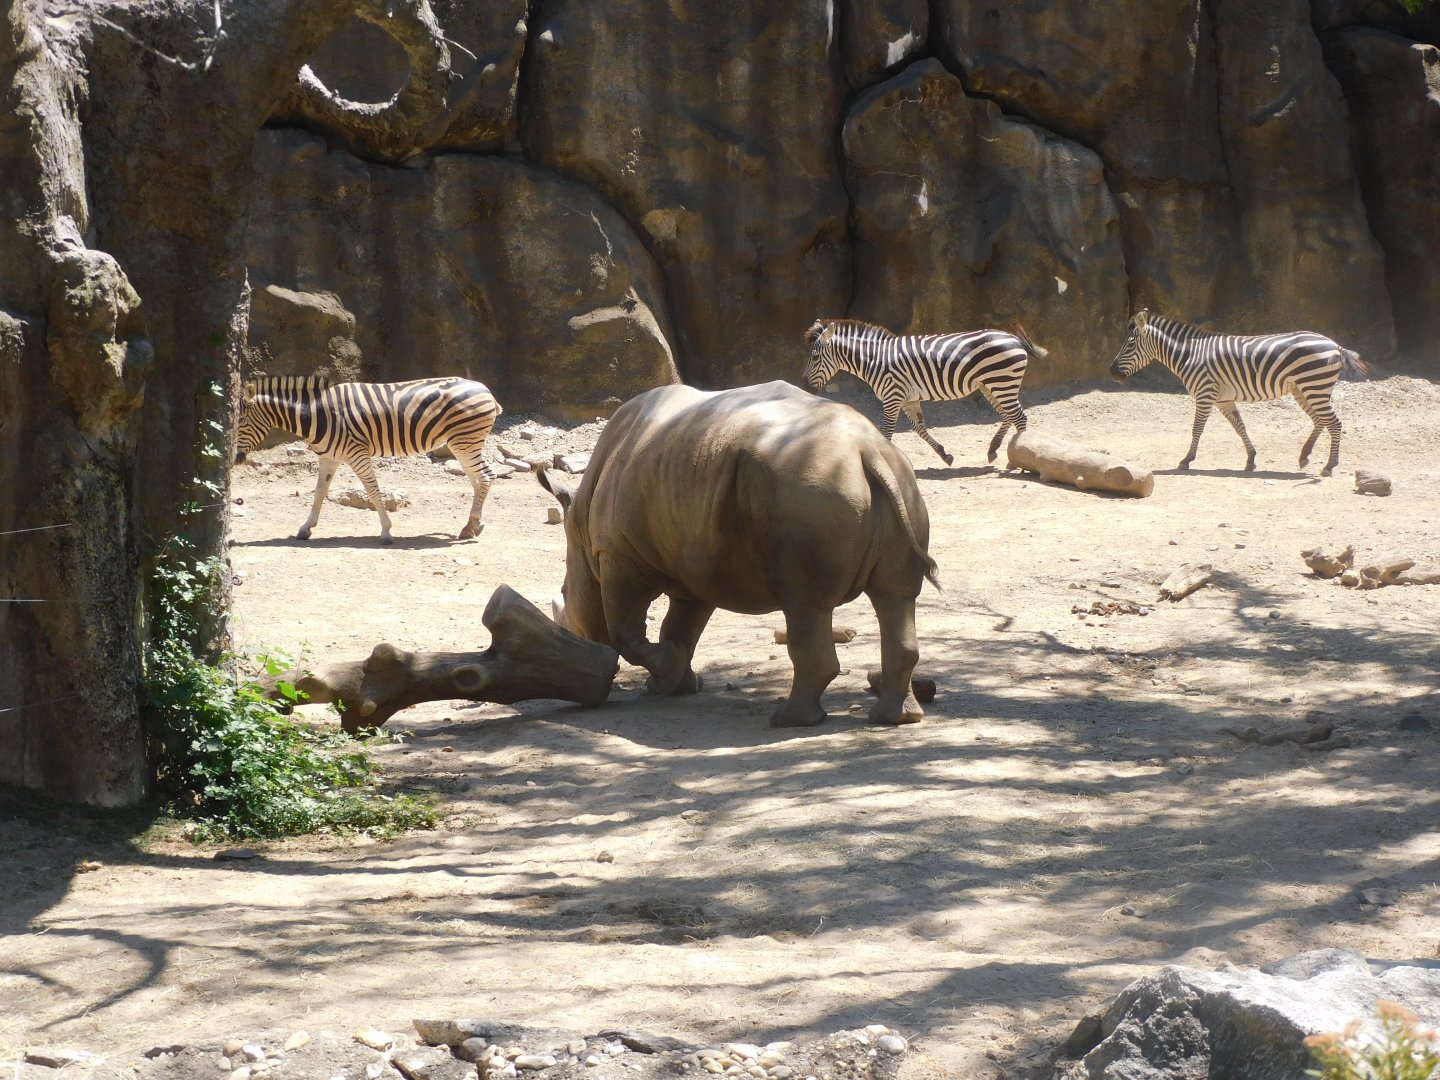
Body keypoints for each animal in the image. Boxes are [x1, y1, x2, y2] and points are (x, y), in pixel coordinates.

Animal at [235, 375, 502, 543]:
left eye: (240, 422)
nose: (236, 459)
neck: (319, 414)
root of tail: (485, 389)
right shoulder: (329, 458)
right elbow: (320, 492)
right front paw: (305, 528)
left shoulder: (357, 453)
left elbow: (373, 491)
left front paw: (386, 531)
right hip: (462, 444)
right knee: (477, 479)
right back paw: (472, 526)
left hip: (464, 441)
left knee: (486, 476)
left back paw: (472, 524)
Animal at [537, 380, 940, 727]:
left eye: (565, 598)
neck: (580, 524)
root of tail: (865, 450)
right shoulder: (692, 563)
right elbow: (680, 629)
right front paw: (675, 683)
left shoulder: (617, 552)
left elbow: (627, 632)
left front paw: (666, 674)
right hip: (898, 482)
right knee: (895, 597)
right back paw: (897, 718)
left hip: (806, 488)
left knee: (805, 603)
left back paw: (788, 721)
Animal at [802, 318, 1046, 465]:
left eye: (814, 357)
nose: (804, 385)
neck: (875, 360)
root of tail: (1013, 338)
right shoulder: (908, 399)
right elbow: (919, 429)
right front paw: (945, 455)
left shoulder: (892, 396)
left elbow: (886, 431)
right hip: (991, 385)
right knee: (1009, 415)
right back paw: (993, 450)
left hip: (1002, 382)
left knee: (1019, 417)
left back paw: (1019, 461)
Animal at [1108, 309, 1371, 477]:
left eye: (1129, 344)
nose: (1112, 372)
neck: (1189, 355)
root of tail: (1333, 344)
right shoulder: (1223, 399)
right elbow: (1239, 427)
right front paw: (1251, 459)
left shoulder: (1205, 394)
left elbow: (1197, 429)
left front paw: (1186, 460)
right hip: (1303, 388)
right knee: (1320, 420)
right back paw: (1304, 456)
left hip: (1314, 386)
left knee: (1334, 423)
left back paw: (1329, 466)